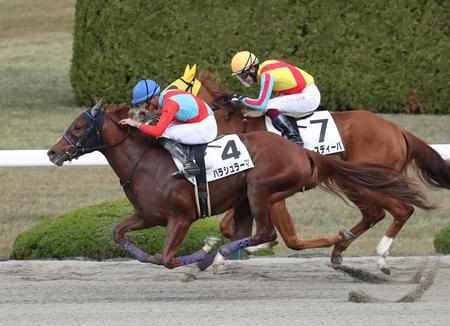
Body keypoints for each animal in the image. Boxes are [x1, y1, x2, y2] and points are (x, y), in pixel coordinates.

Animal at [47, 100, 434, 272]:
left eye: (79, 126)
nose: (52, 152)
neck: (147, 162)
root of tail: (396, 128)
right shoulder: (148, 215)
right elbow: (121, 235)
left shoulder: (181, 217)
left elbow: (169, 258)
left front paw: (205, 253)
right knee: (376, 213)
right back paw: (341, 248)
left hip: (266, 190)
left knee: (395, 209)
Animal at [158, 70, 450, 274]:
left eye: (172, 88)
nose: (153, 113)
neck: (236, 127)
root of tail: (397, 129)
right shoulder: (246, 187)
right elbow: (227, 226)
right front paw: (244, 248)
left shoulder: (268, 193)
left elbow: (288, 238)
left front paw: (254, 246)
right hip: (353, 183)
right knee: (374, 214)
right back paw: (340, 250)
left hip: (368, 181)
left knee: (400, 210)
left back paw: (380, 256)